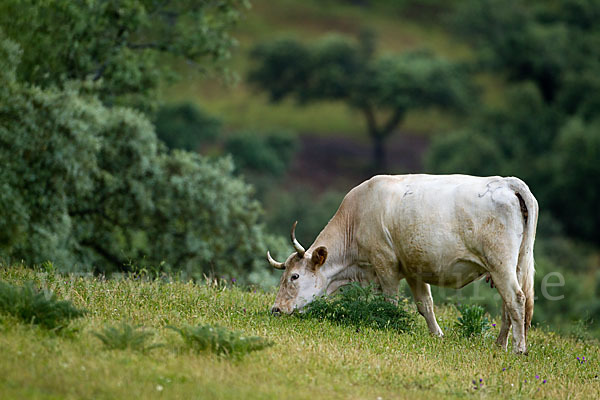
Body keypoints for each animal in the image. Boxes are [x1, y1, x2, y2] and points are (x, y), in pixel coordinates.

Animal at [268, 175, 540, 354]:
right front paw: (437, 335)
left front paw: (391, 324)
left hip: (500, 264)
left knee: (516, 299)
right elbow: (425, 305)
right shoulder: (413, 269)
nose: (276, 309)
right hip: (515, 265)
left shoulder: (385, 264)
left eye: (294, 276)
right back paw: (500, 345)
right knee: (509, 305)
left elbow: (391, 302)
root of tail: (507, 182)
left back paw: (517, 349)